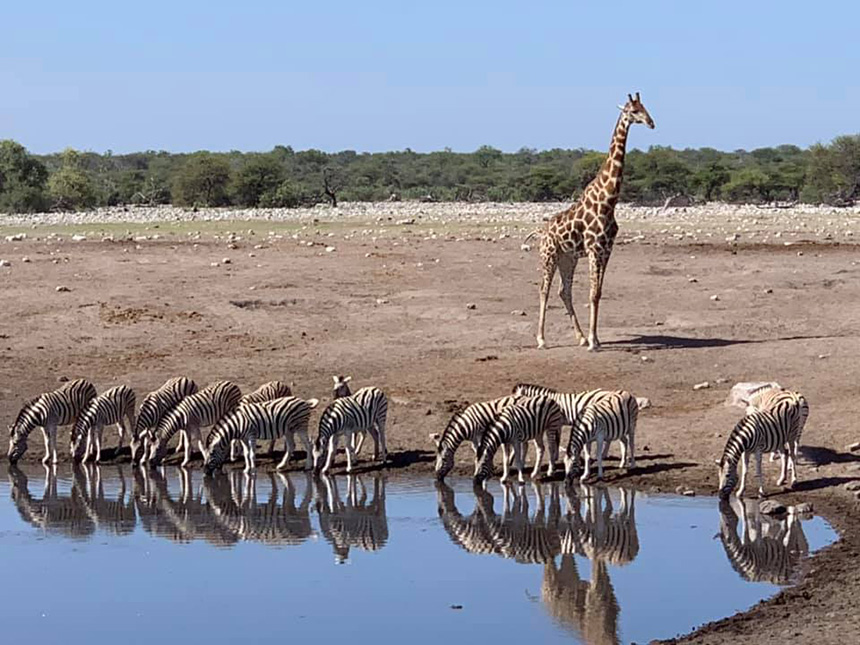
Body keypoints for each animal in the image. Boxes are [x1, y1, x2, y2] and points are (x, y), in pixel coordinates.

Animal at [528, 91, 656, 350]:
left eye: (645, 107)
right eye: (633, 111)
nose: (651, 123)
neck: (608, 201)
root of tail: (542, 232)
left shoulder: (606, 250)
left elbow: (597, 293)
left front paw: (594, 338)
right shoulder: (594, 248)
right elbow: (591, 293)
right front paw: (593, 343)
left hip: (568, 258)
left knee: (563, 291)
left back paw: (580, 336)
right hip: (549, 255)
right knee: (544, 290)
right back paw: (542, 339)